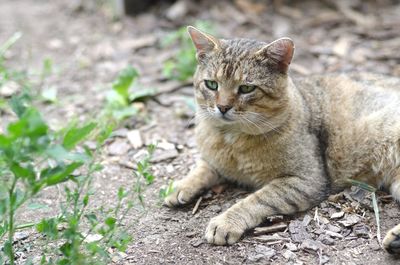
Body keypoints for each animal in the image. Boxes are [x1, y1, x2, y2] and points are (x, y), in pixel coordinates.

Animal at [163, 25, 400, 253]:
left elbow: (258, 199)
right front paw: (180, 186)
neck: (231, 140)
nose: (222, 107)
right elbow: (201, 168)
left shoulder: (306, 180)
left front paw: (225, 222)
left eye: (246, 88)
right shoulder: (213, 160)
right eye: (212, 84)